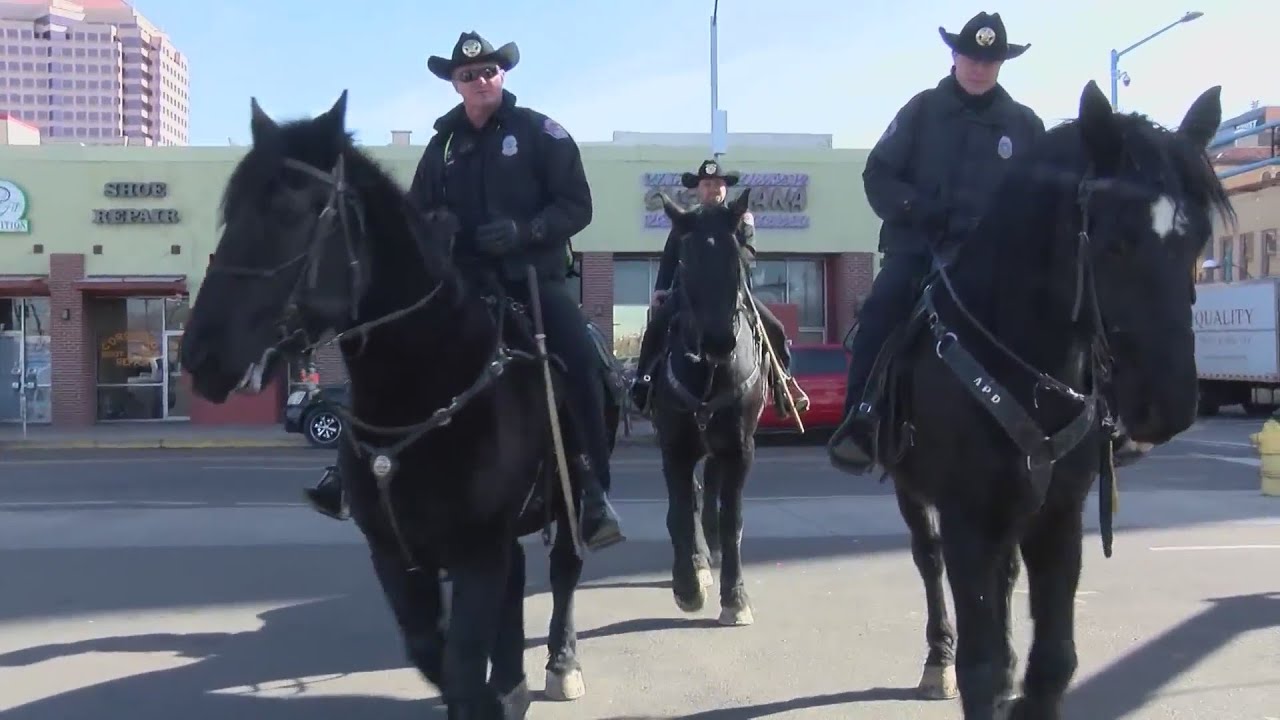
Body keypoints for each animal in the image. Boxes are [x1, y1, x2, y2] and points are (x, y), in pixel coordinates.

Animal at [176, 92, 624, 712]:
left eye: (289, 212)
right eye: (230, 212)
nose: (199, 354)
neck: (423, 388)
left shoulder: (478, 550)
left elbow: (463, 663)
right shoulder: (395, 555)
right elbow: (432, 654)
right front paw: (496, 693)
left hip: (571, 497)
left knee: (564, 570)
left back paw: (562, 662)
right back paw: (513, 682)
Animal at [650, 190, 768, 622]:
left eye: (741, 258)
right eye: (684, 262)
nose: (719, 342)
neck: (710, 372)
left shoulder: (740, 448)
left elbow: (732, 518)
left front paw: (735, 597)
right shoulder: (675, 447)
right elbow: (682, 509)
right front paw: (688, 584)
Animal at [844, 79, 1233, 717]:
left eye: (1199, 240)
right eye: (1115, 242)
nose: (1170, 406)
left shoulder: (1059, 516)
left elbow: (1052, 662)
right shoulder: (967, 518)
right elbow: (981, 666)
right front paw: (970, 671)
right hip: (914, 493)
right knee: (928, 561)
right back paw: (936, 661)